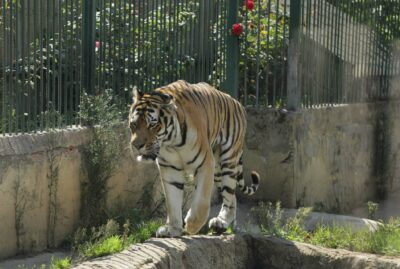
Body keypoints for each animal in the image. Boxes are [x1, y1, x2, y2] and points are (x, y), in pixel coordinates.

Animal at [128, 79, 260, 237]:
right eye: (134, 124)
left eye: (152, 125)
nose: (136, 146)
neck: (171, 142)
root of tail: (237, 103)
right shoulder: (170, 168)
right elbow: (172, 201)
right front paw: (172, 228)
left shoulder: (205, 163)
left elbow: (201, 200)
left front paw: (191, 226)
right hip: (218, 170)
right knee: (232, 196)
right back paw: (222, 224)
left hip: (228, 159)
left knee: (229, 193)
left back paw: (221, 222)